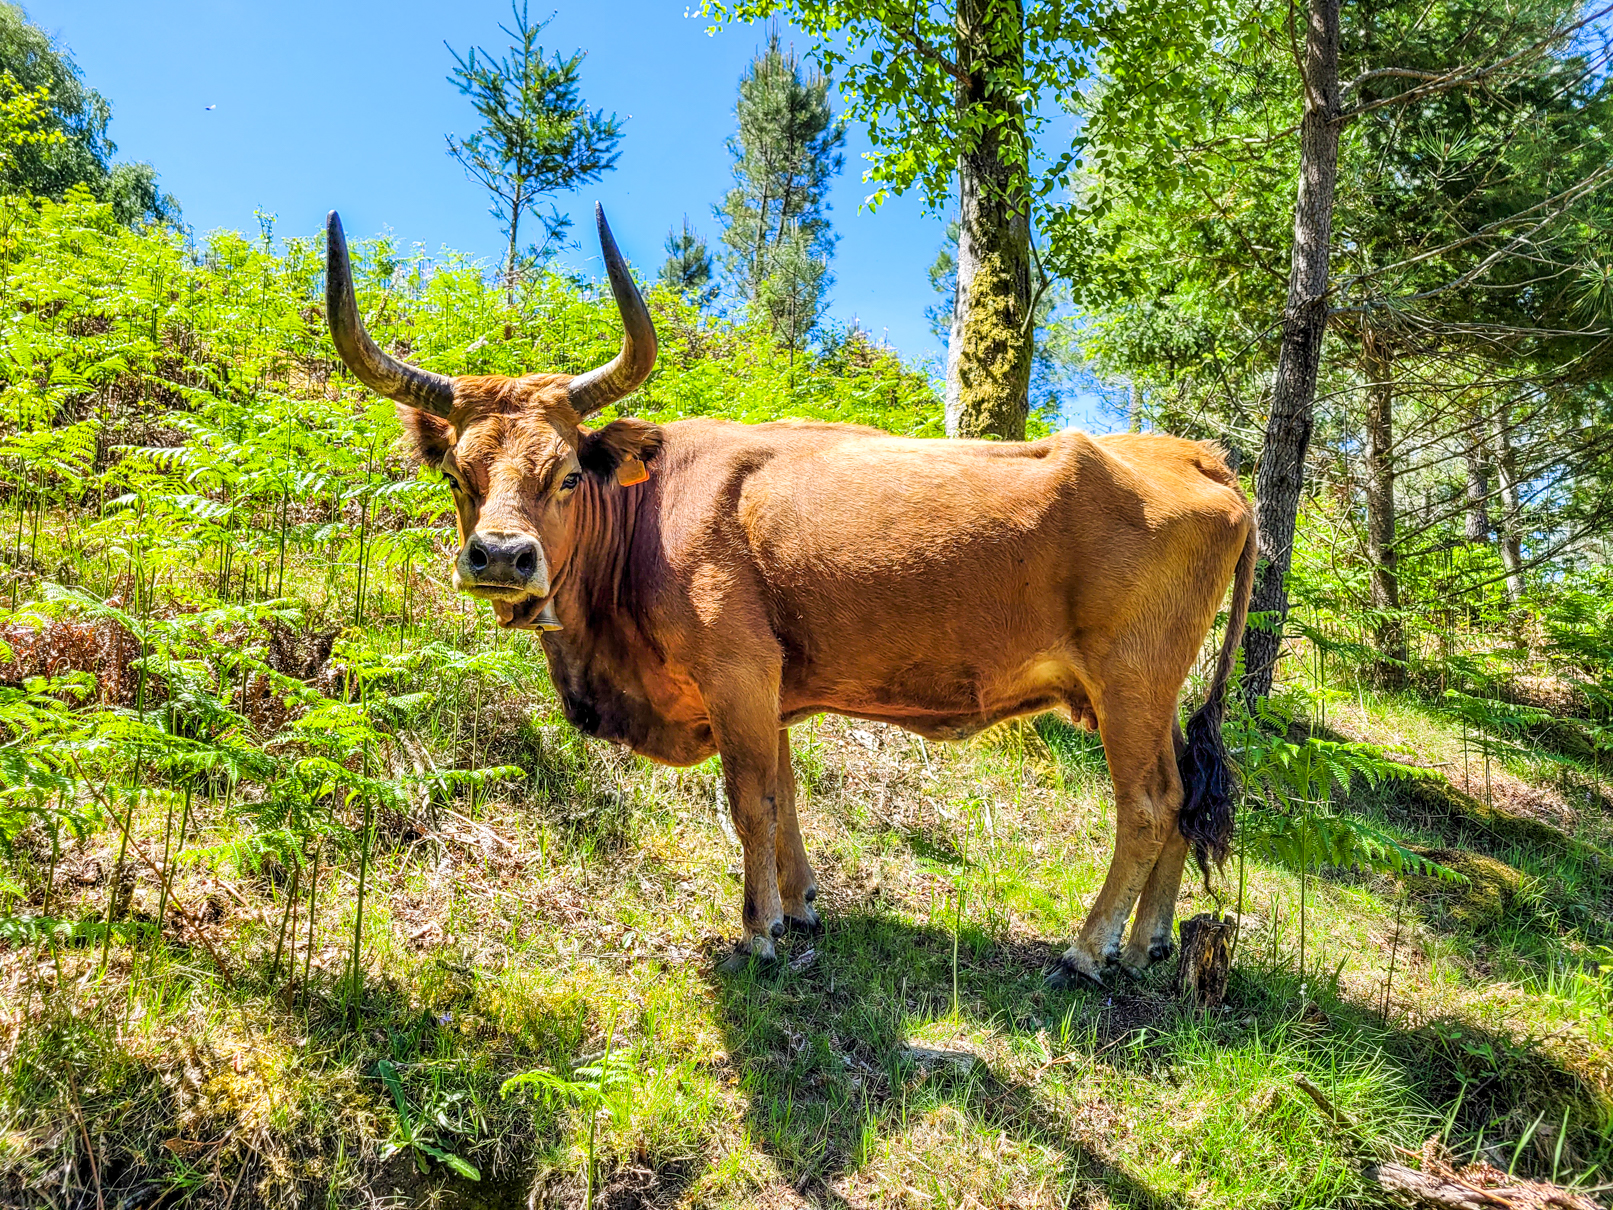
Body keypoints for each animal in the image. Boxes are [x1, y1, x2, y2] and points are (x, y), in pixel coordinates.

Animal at [324, 204, 1257, 986]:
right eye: (457, 474)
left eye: (563, 476)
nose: (501, 557)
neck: (651, 513)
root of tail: (1192, 455)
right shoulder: (768, 688)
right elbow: (785, 796)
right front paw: (800, 905)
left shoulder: (735, 673)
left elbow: (748, 800)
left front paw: (757, 930)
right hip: (1147, 694)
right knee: (1182, 796)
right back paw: (1148, 942)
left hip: (1129, 684)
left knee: (1149, 804)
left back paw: (1090, 949)